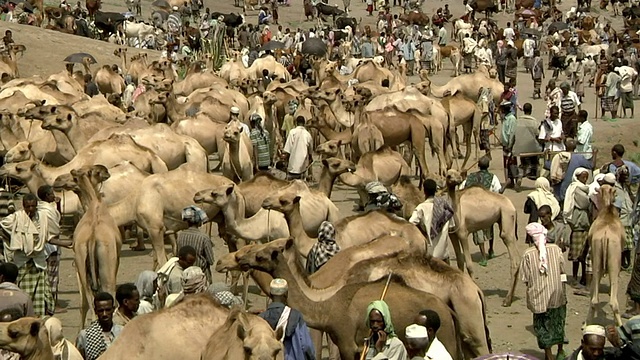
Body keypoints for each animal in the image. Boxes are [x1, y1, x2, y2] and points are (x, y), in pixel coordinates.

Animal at [59, 165, 123, 328]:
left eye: (74, 177)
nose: (59, 181)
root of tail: (93, 237)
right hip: (107, 267)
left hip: (82, 261)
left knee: (89, 303)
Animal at [220, 239, 460, 360]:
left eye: (260, 255)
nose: (239, 258)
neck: (327, 308)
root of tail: (447, 310)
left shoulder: (347, 343)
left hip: (446, 336)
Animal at [444, 169, 520, 306]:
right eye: (449, 176)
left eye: (458, 173)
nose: (458, 180)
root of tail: (513, 207)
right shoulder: (452, 235)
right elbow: (459, 262)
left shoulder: (463, 233)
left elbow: (469, 264)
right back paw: (510, 299)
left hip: (507, 217)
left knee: (514, 258)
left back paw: (506, 300)